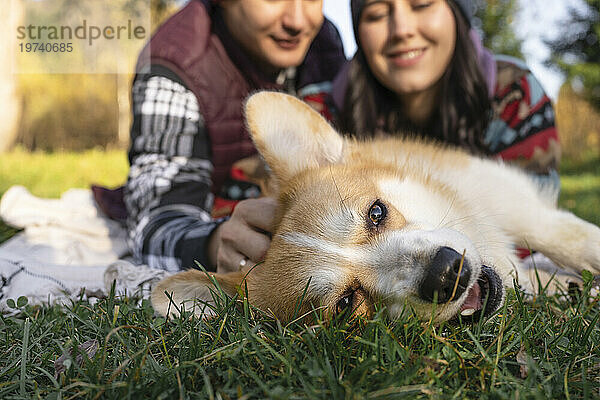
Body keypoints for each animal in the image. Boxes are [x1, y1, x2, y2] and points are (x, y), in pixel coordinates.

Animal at [151, 92, 600, 324]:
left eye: (377, 212)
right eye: (347, 304)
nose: (447, 273)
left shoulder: (511, 201)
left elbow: (567, 238)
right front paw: (571, 290)